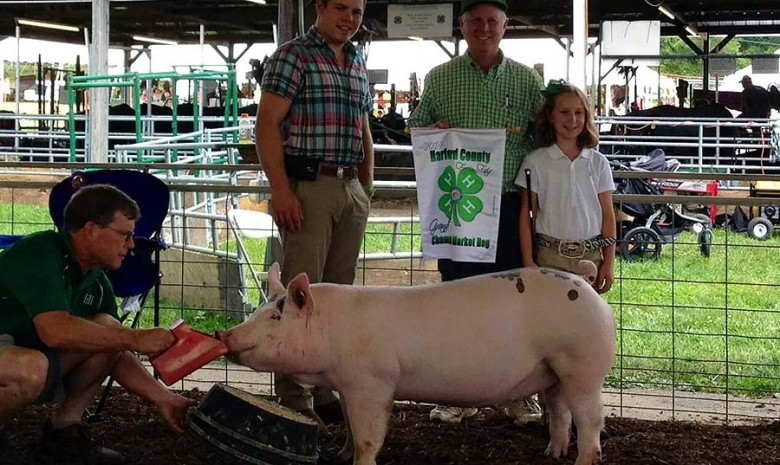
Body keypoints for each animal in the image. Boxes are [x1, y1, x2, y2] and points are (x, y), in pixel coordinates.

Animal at [218, 260, 616, 464]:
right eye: (257, 310)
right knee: (560, 411)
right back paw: (551, 453)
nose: (225, 335)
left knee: (591, 419)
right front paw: (341, 453)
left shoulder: (373, 381)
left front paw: (358, 460)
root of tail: (586, 284)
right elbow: (349, 425)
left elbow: (368, 436)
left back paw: (583, 459)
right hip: (553, 370)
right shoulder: (346, 384)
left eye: (275, 317)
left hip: (582, 364)